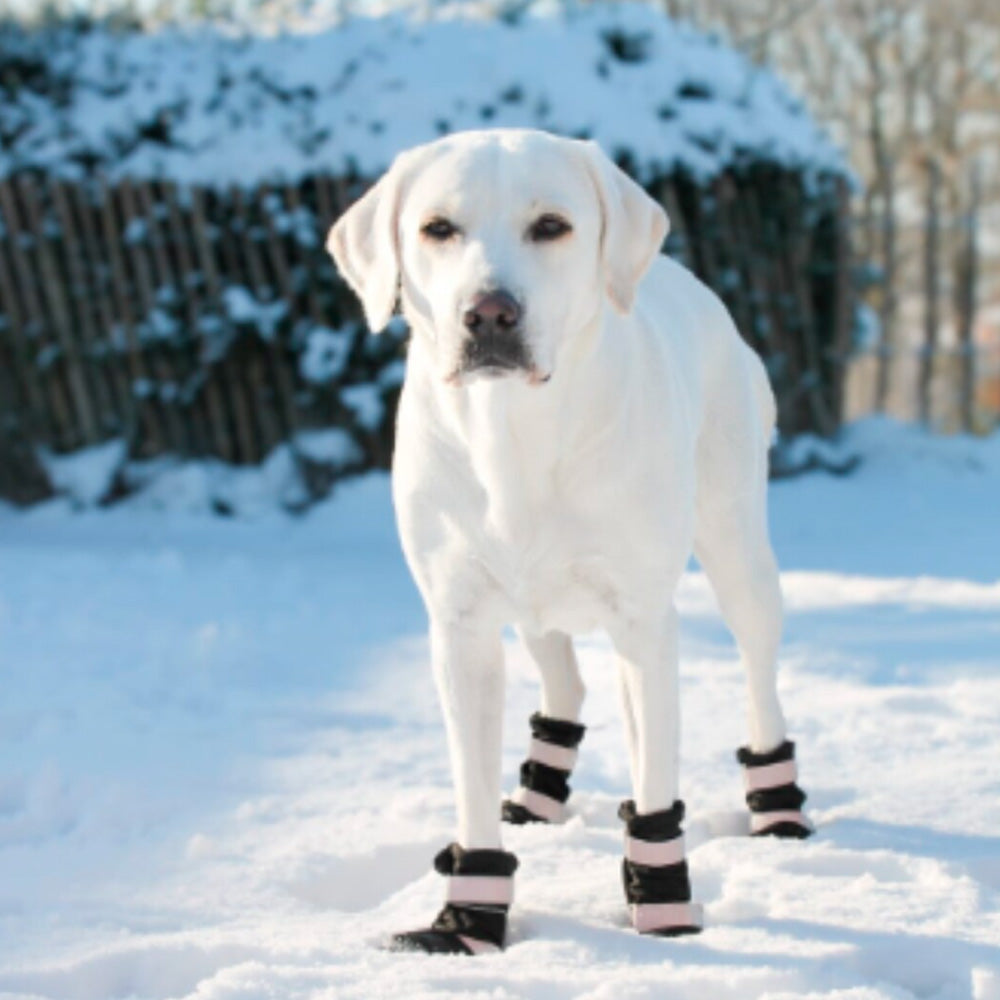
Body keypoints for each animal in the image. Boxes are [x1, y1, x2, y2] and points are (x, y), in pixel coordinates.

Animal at [330, 129, 812, 956]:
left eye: (551, 226)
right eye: (437, 228)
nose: (489, 314)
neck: (515, 435)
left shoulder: (644, 620)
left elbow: (655, 788)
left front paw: (664, 910)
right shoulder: (459, 625)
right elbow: (470, 782)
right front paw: (469, 920)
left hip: (736, 552)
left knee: (757, 677)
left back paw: (778, 810)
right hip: (533, 605)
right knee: (569, 685)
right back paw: (536, 798)